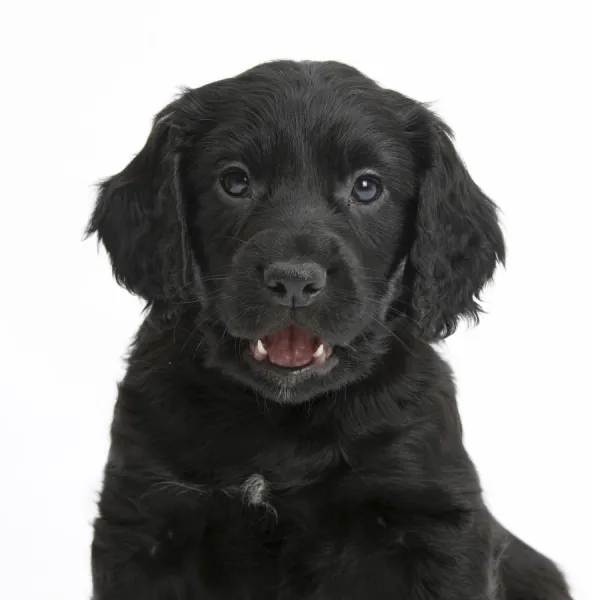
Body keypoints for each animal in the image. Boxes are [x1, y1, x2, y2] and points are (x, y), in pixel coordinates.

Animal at [86, 62, 568, 600]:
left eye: (366, 187)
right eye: (234, 181)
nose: (295, 280)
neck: (284, 422)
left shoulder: (433, 521)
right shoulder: (145, 518)